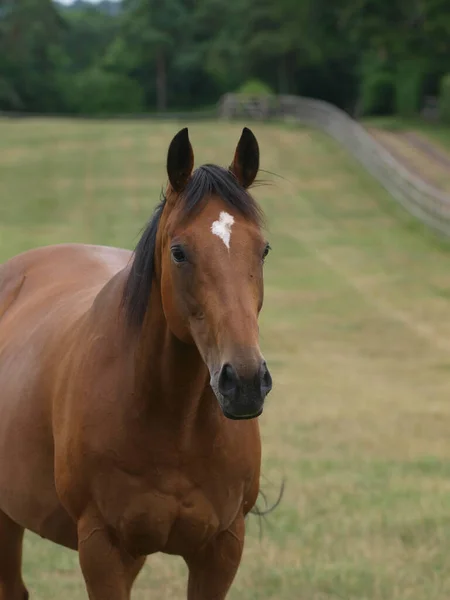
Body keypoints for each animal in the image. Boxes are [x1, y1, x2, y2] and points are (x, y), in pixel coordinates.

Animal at [0, 126, 272, 600]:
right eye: (179, 252)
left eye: (264, 250)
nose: (245, 383)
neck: (175, 423)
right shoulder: (102, 548)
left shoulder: (221, 549)